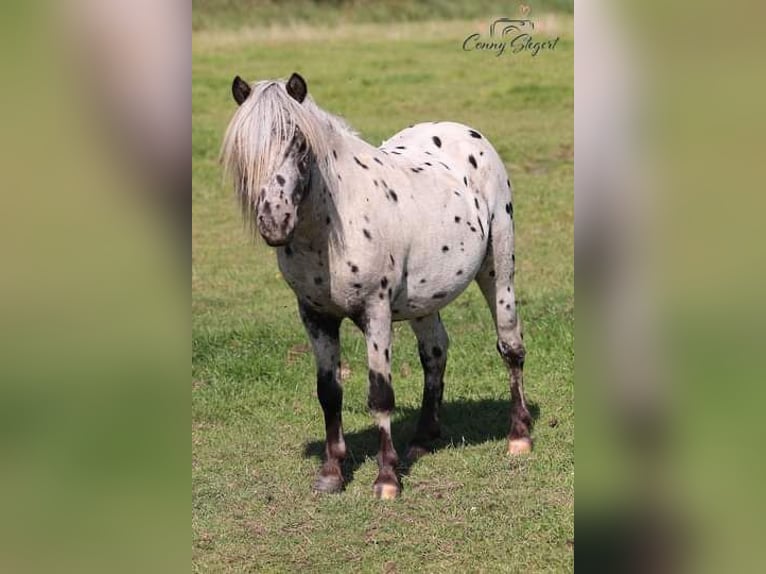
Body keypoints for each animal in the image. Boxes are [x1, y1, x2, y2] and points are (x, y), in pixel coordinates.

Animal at [222, 74, 536, 502]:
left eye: (299, 144)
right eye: (246, 149)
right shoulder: (315, 316)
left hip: (498, 270)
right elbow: (329, 393)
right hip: (425, 298)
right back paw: (422, 438)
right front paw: (332, 472)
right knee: (435, 352)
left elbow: (380, 395)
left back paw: (518, 436)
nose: (274, 220)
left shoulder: (376, 312)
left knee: (510, 346)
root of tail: (464, 132)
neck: (331, 226)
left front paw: (387, 479)